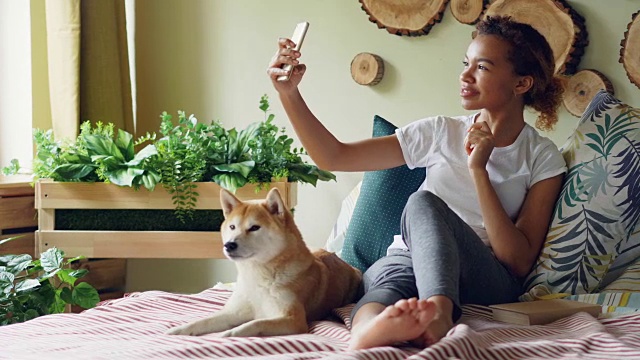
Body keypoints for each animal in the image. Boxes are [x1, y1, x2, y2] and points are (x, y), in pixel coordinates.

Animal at [168, 187, 362, 336]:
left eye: (254, 228)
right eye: (232, 227)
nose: (229, 245)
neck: (257, 276)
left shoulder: (293, 320)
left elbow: (256, 323)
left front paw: (230, 333)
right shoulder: (234, 312)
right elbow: (206, 321)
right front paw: (181, 329)